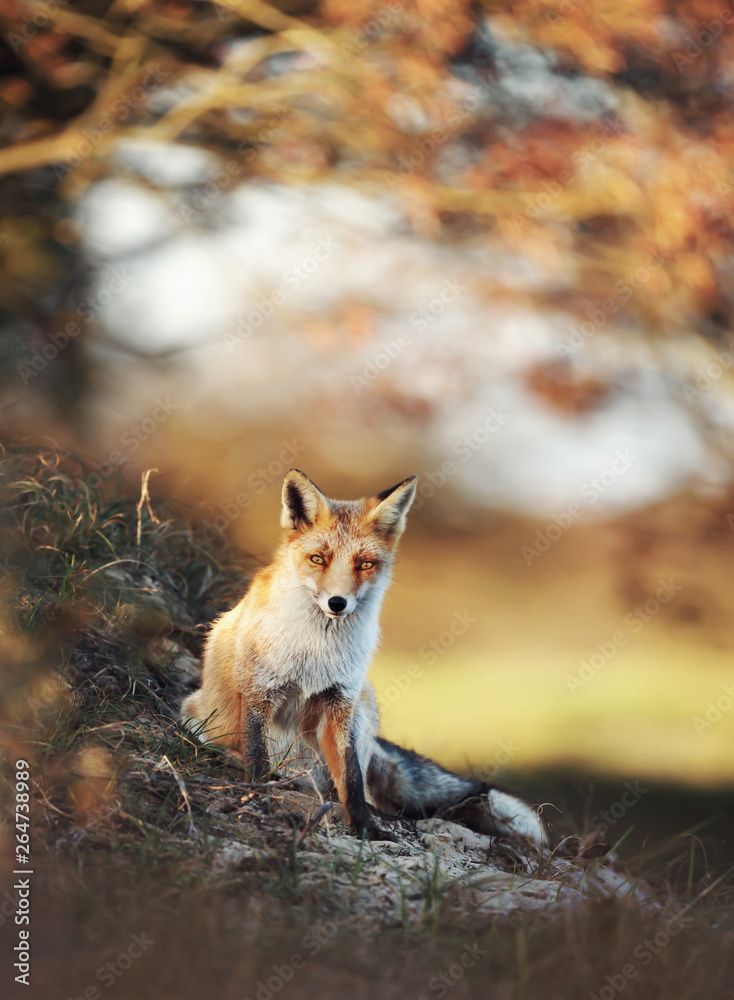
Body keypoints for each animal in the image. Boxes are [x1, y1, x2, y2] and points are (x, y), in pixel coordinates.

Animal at [180, 469, 546, 846]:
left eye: (365, 564)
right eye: (318, 559)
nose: (337, 603)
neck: (316, 653)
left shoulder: (340, 703)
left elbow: (352, 779)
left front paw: (364, 826)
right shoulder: (258, 693)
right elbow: (256, 758)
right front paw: (257, 796)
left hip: (362, 706)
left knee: (355, 784)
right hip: (198, 717)